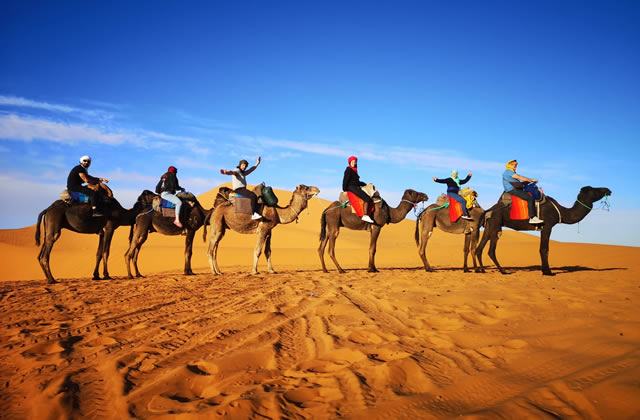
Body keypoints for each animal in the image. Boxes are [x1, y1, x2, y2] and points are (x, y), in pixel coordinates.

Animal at [478, 186, 612, 276]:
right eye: (594, 190)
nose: (608, 190)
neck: (561, 212)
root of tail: (489, 210)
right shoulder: (547, 226)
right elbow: (544, 249)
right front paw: (548, 272)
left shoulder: (543, 227)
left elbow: (543, 248)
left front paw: (544, 270)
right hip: (496, 224)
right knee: (491, 250)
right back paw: (503, 271)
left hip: (489, 226)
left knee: (479, 248)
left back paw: (483, 270)